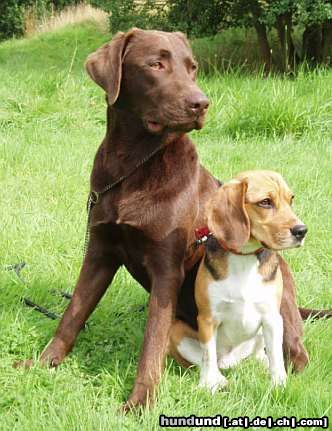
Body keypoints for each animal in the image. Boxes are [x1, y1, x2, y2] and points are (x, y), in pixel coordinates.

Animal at [17, 28, 308, 410]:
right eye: (156, 64)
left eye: (192, 67)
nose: (201, 103)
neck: (132, 166)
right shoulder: (99, 252)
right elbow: (73, 314)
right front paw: (44, 362)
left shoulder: (166, 269)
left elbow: (152, 341)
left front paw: (141, 399)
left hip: (281, 301)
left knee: (292, 349)